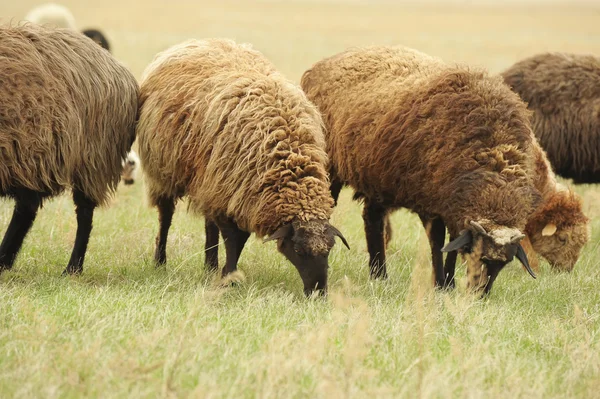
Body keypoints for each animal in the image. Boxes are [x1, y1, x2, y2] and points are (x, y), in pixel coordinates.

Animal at [0, 24, 137, 276]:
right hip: (30, 158)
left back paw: (72, 268)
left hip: (90, 159)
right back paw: (5, 260)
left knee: (83, 214)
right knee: (28, 207)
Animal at [137, 39, 350, 296]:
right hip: (164, 174)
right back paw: (160, 261)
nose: (318, 292)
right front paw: (229, 277)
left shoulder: (237, 193)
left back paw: (210, 266)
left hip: (210, 182)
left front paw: (223, 273)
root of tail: (196, 42)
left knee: (208, 226)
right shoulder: (232, 194)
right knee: (166, 216)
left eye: (329, 249)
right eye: (298, 250)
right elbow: (234, 240)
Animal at [302, 46, 540, 296]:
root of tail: (326, 62)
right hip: (329, 167)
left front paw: (449, 283)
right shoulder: (431, 203)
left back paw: (379, 275)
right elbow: (438, 243)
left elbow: (452, 244)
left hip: (378, 178)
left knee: (373, 220)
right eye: (479, 257)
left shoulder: (452, 205)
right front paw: (442, 284)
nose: (480, 295)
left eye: (503, 264)